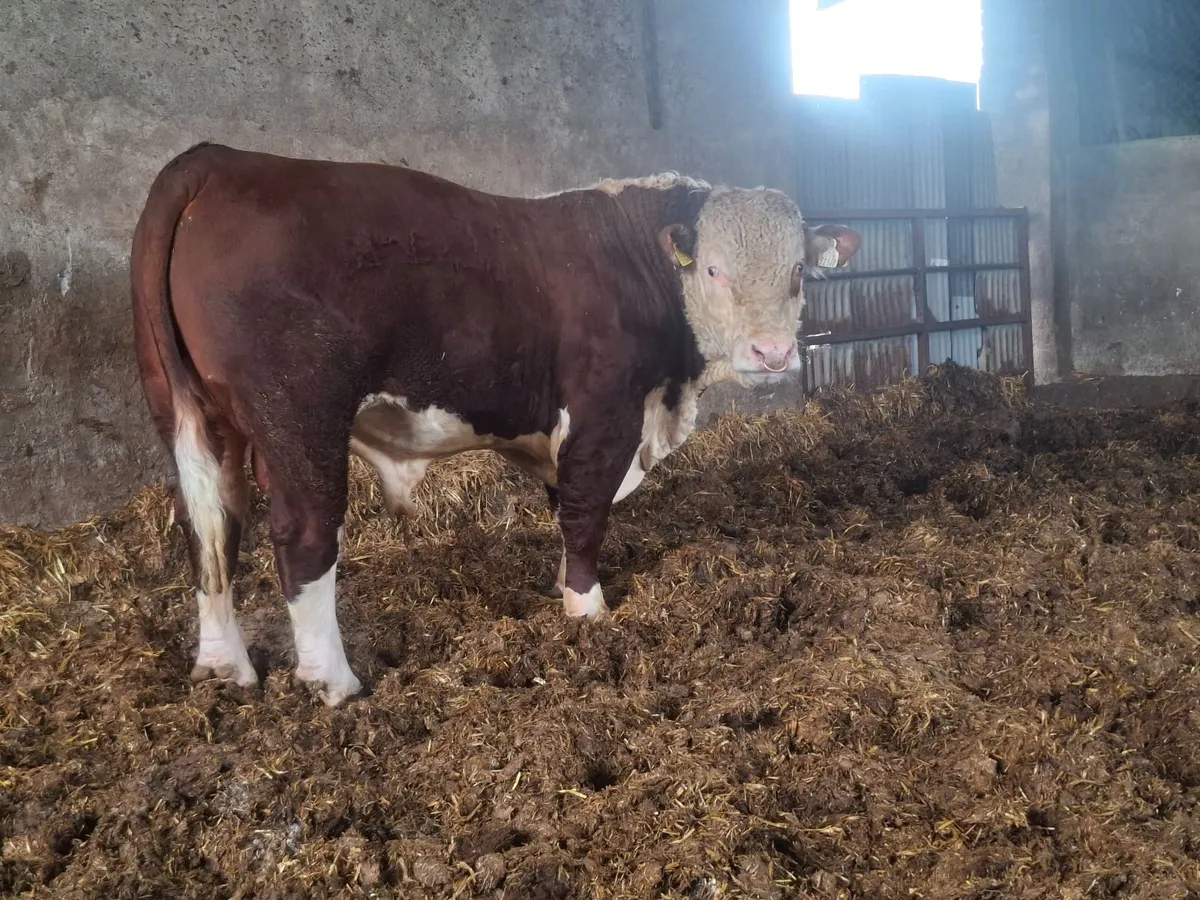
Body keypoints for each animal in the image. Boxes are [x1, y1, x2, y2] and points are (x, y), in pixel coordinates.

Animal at [130, 143, 860, 706]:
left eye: (798, 271)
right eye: (714, 270)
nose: (772, 353)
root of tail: (221, 160)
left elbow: (565, 509)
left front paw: (562, 589)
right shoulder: (603, 416)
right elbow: (586, 513)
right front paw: (588, 611)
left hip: (193, 416)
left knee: (210, 526)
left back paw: (225, 666)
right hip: (299, 418)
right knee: (302, 534)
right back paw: (332, 680)